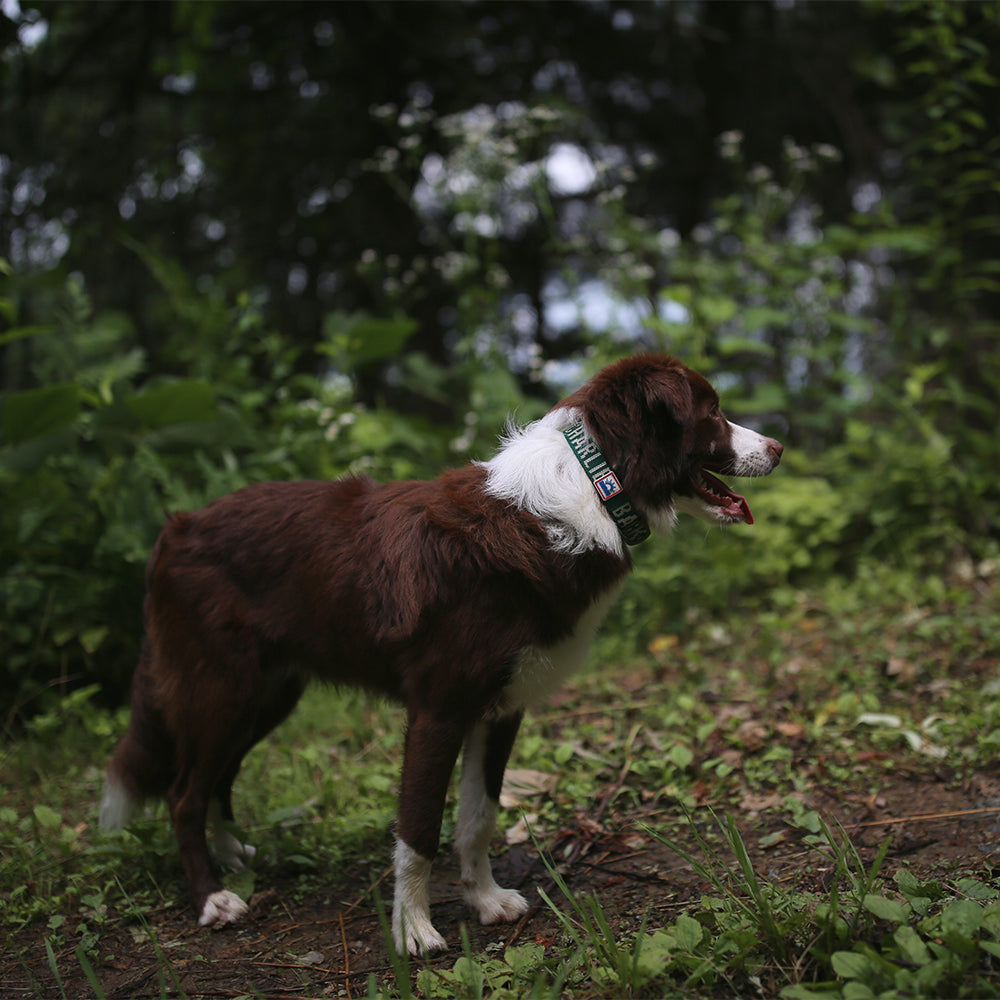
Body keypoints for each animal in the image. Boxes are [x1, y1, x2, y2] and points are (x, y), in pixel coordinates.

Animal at [99, 352, 780, 952]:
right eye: (712, 412)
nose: (777, 448)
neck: (589, 488)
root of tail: (174, 529)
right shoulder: (438, 709)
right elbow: (420, 827)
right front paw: (414, 932)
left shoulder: (500, 708)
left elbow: (478, 817)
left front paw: (484, 900)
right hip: (220, 690)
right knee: (183, 792)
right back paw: (212, 898)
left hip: (267, 695)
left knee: (215, 777)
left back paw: (231, 853)